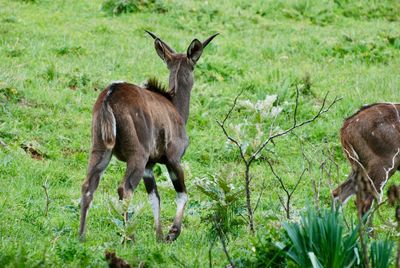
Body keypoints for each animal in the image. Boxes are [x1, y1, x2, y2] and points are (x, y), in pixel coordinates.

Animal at [79, 30, 219, 241]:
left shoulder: (149, 167)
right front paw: (172, 233)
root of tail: (110, 95)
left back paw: (81, 237)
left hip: (100, 150)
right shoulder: (173, 159)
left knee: (88, 186)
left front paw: (159, 236)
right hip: (137, 155)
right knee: (125, 188)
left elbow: (155, 197)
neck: (174, 106)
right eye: (194, 65)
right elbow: (182, 193)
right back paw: (128, 238)